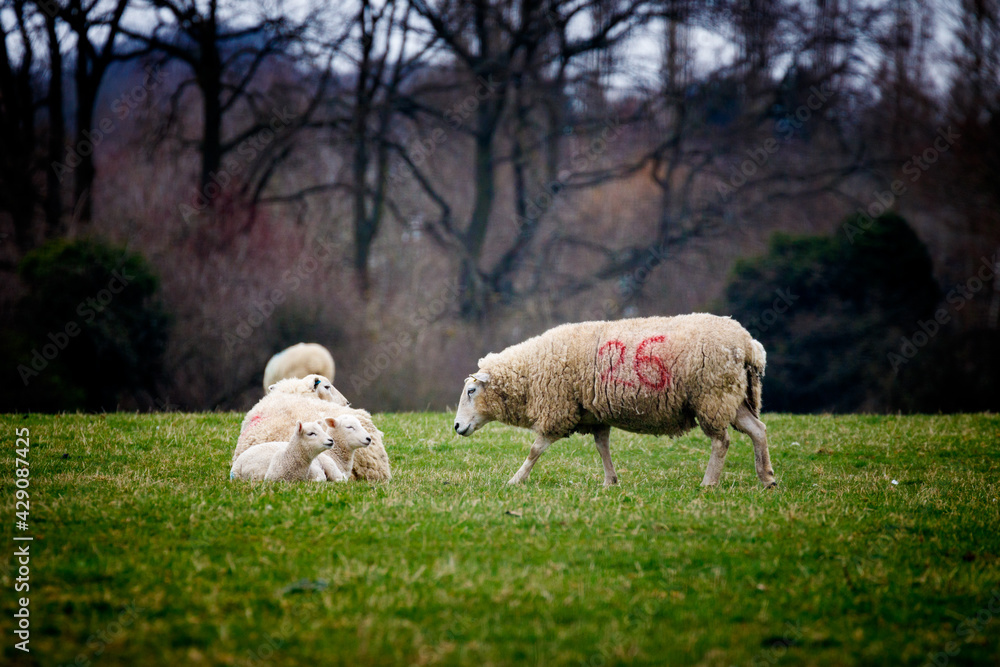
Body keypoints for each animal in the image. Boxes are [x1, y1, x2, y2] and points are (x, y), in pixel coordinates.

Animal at [452, 313, 777, 488]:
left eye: (471, 391)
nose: (456, 427)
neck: (531, 371)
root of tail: (749, 344)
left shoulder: (559, 409)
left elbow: (535, 450)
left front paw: (515, 480)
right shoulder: (594, 414)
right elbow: (602, 447)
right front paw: (610, 481)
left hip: (712, 394)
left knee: (721, 442)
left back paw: (709, 482)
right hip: (734, 396)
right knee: (758, 430)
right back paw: (767, 478)